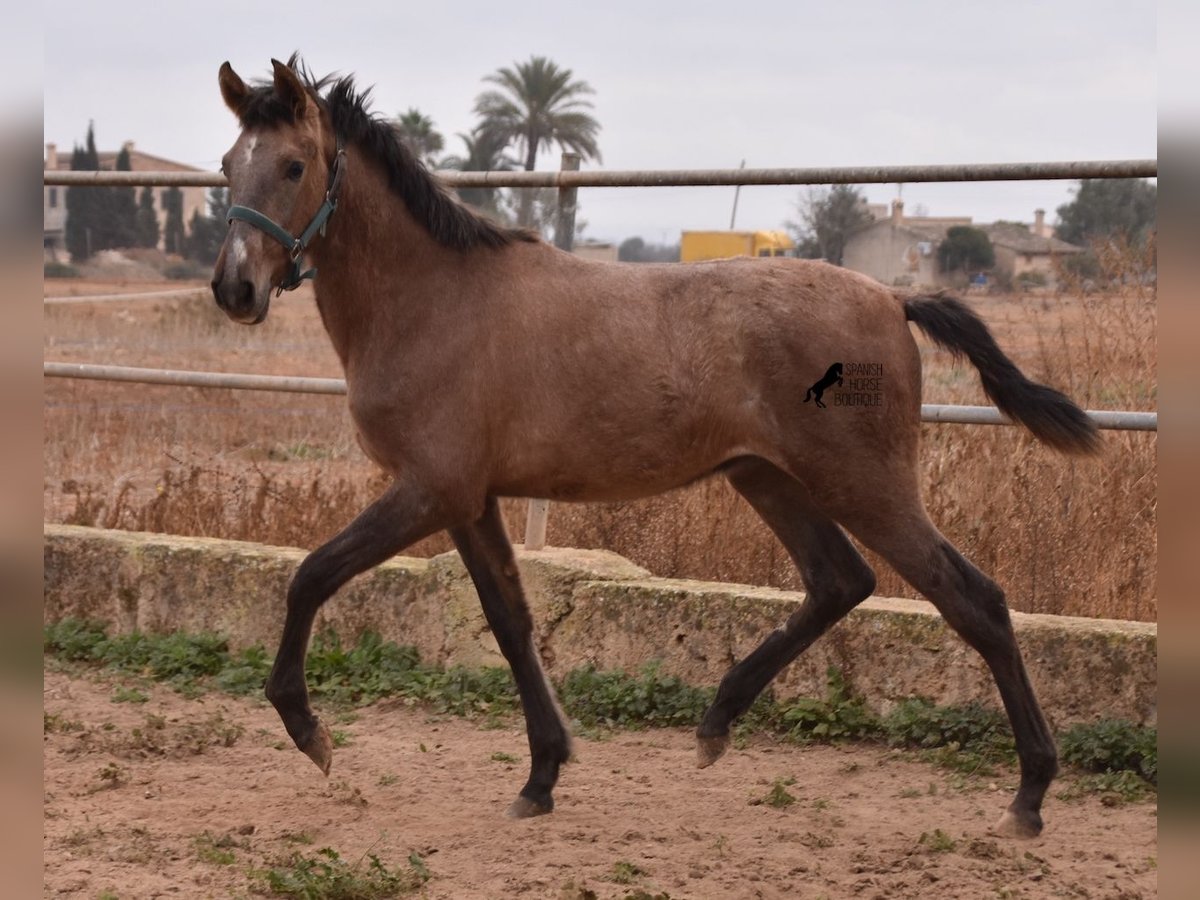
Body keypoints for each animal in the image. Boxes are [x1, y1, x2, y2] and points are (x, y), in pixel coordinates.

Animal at [213, 60, 1099, 844]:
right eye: (226, 165)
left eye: (294, 164)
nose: (234, 290)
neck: (434, 301)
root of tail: (894, 295)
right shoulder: (470, 499)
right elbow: (511, 619)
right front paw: (542, 776)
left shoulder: (429, 489)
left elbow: (312, 574)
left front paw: (311, 733)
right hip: (767, 476)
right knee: (839, 581)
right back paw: (715, 724)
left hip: (865, 484)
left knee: (974, 600)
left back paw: (1028, 798)